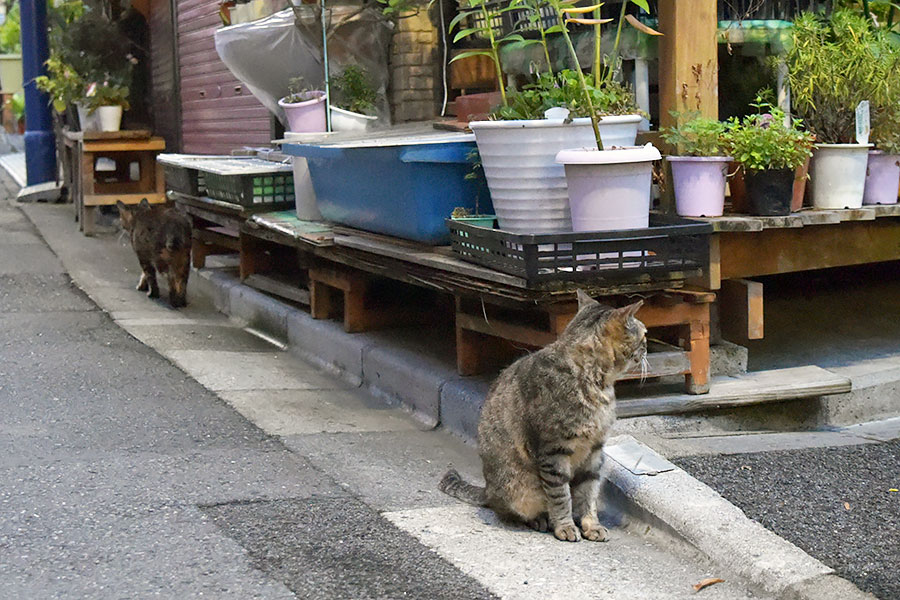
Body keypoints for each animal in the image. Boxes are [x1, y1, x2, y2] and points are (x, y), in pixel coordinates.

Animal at [438, 290, 644, 544]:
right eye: (644, 334)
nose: (648, 345)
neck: (598, 385)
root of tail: (487, 488)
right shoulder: (553, 452)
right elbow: (560, 497)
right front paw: (565, 526)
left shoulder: (595, 452)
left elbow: (588, 495)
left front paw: (591, 525)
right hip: (519, 489)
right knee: (512, 511)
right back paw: (539, 520)